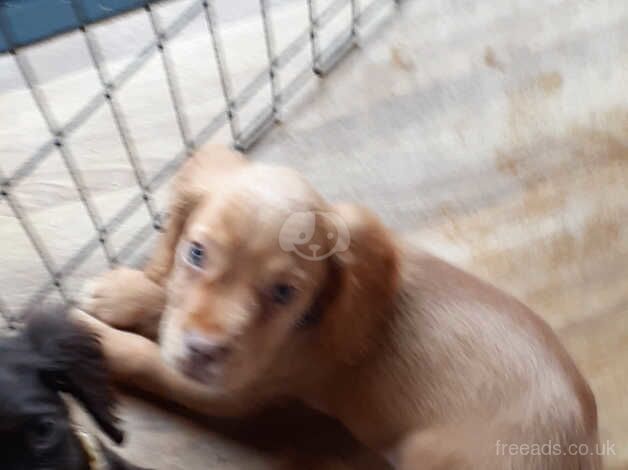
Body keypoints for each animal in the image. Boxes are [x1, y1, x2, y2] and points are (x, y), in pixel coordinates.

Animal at [78, 145, 600, 468]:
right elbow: (166, 306)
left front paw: (91, 340)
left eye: (284, 293)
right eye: (196, 253)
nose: (203, 351)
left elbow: (147, 360)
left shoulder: (236, 389)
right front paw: (121, 293)